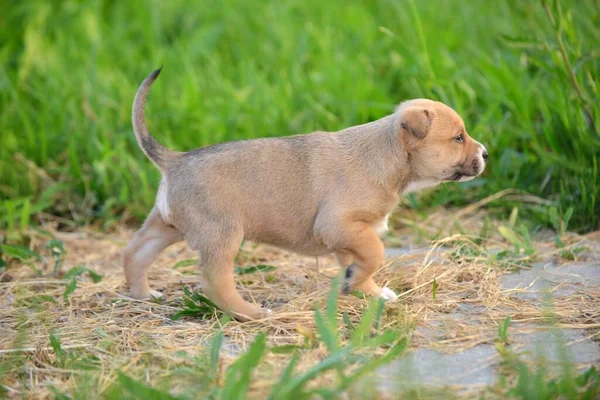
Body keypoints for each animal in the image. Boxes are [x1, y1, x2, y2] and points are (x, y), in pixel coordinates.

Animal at [123, 67, 488, 320]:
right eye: (458, 137)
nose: (485, 154)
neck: (387, 154)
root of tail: (174, 160)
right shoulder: (342, 226)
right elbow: (376, 253)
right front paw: (362, 283)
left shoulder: (349, 235)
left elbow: (361, 263)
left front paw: (365, 291)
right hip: (222, 234)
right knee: (215, 281)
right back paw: (252, 314)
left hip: (165, 226)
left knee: (136, 253)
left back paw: (143, 295)